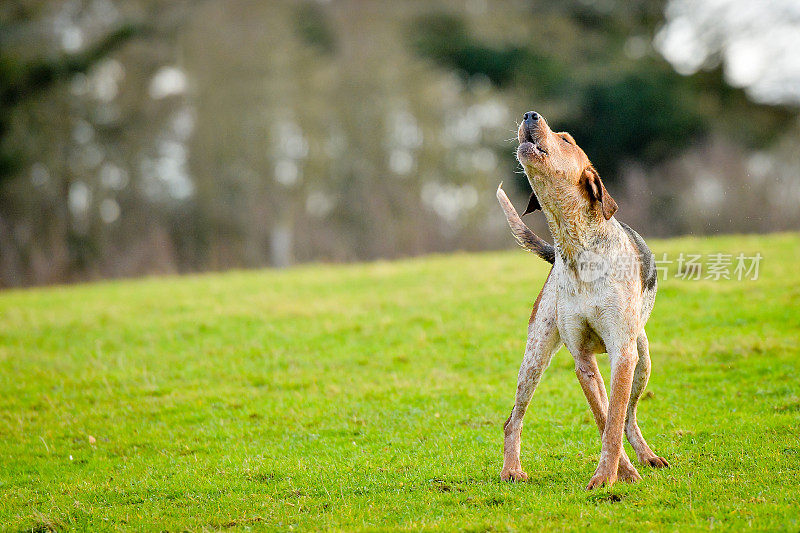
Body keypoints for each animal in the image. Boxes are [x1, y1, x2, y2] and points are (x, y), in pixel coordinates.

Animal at [496, 110, 664, 488]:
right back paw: (512, 469)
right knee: (513, 419)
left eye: (566, 140)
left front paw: (610, 475)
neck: (574, 247)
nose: (529, 114)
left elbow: (613, 422)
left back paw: (646, 456)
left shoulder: (622, 354)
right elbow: (604, 421)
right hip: (535, 358)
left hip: (642, 362)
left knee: (628, 417)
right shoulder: (583, 362)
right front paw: (617, 474)